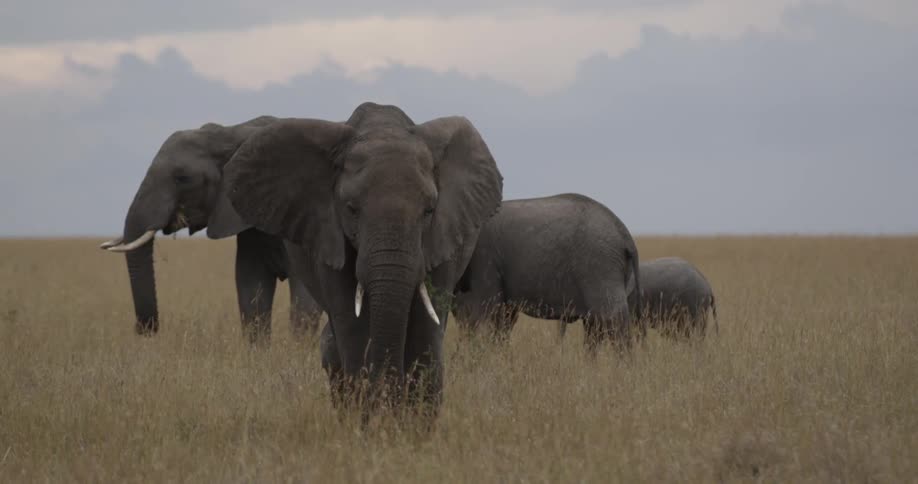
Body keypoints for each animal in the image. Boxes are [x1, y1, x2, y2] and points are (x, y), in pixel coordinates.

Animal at [100, 115, 323, 343]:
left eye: (182, 178)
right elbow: (251, 289)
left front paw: (297, 349)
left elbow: (305, 301)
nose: (143, 329)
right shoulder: (245, 223)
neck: (234, 133)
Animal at [223, 102, 503, 417]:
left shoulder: (441, 239)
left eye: (429, 210)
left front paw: (409, 425)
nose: (391, 402)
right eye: (351, 209)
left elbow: (425, 332)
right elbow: (354, 329)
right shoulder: (329, 236)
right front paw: (373, 422)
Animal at [453, 193, 640, 351]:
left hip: (599, 263)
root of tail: (625, 235)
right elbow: (503, 318)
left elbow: (486, 311)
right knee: (595, 325)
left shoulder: (485, 257)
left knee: (611, 318)